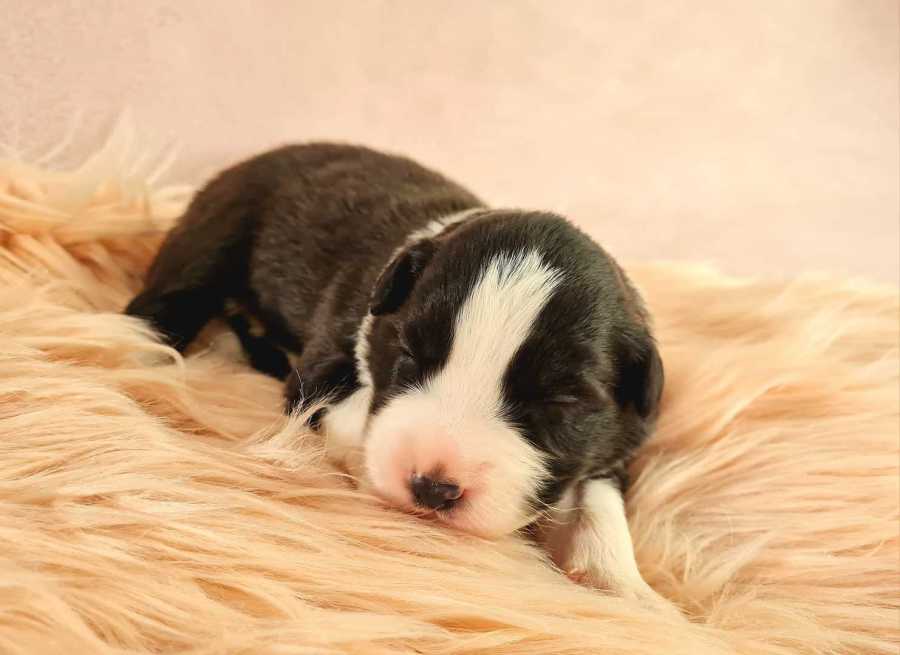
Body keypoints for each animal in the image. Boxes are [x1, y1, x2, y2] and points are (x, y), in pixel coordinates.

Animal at [125, 143, 672, 611]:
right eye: (408, 356)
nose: (433, 488)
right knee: (164, 304)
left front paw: (621, 585)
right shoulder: (323, 365)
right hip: (215, 235)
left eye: (559, 404)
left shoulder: (621, 434)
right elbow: (355, 419)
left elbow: (600, 499)